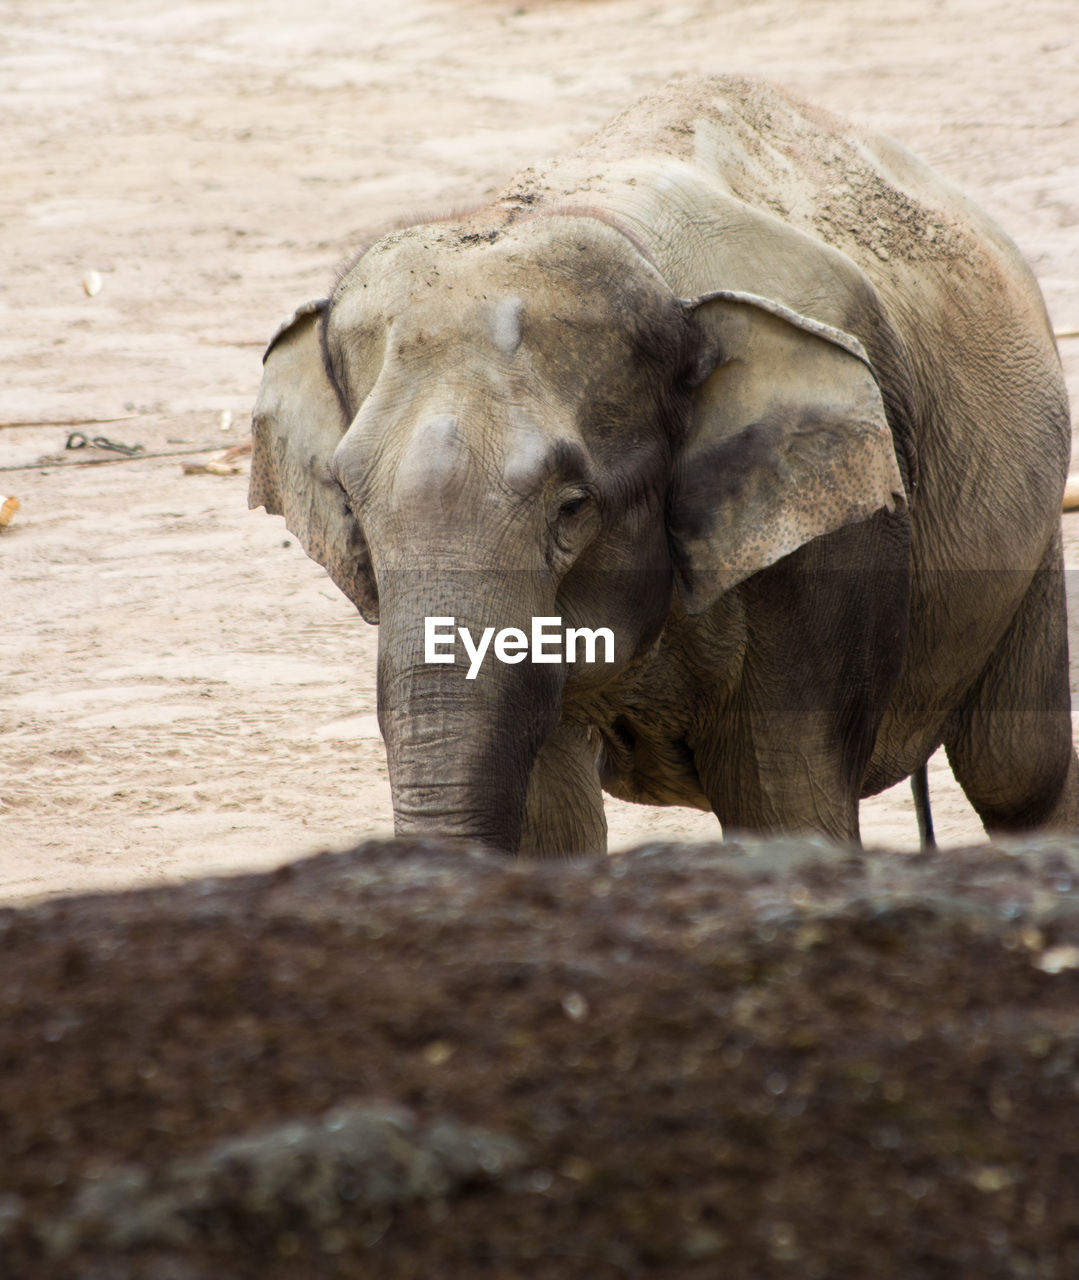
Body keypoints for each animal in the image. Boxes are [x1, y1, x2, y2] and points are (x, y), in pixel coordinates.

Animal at [249, 74, 1079, 855]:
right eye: (352, 506)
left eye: (572, 508)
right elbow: (550, 825)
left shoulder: (826, 548)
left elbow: (785, 805)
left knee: (1017, 772)